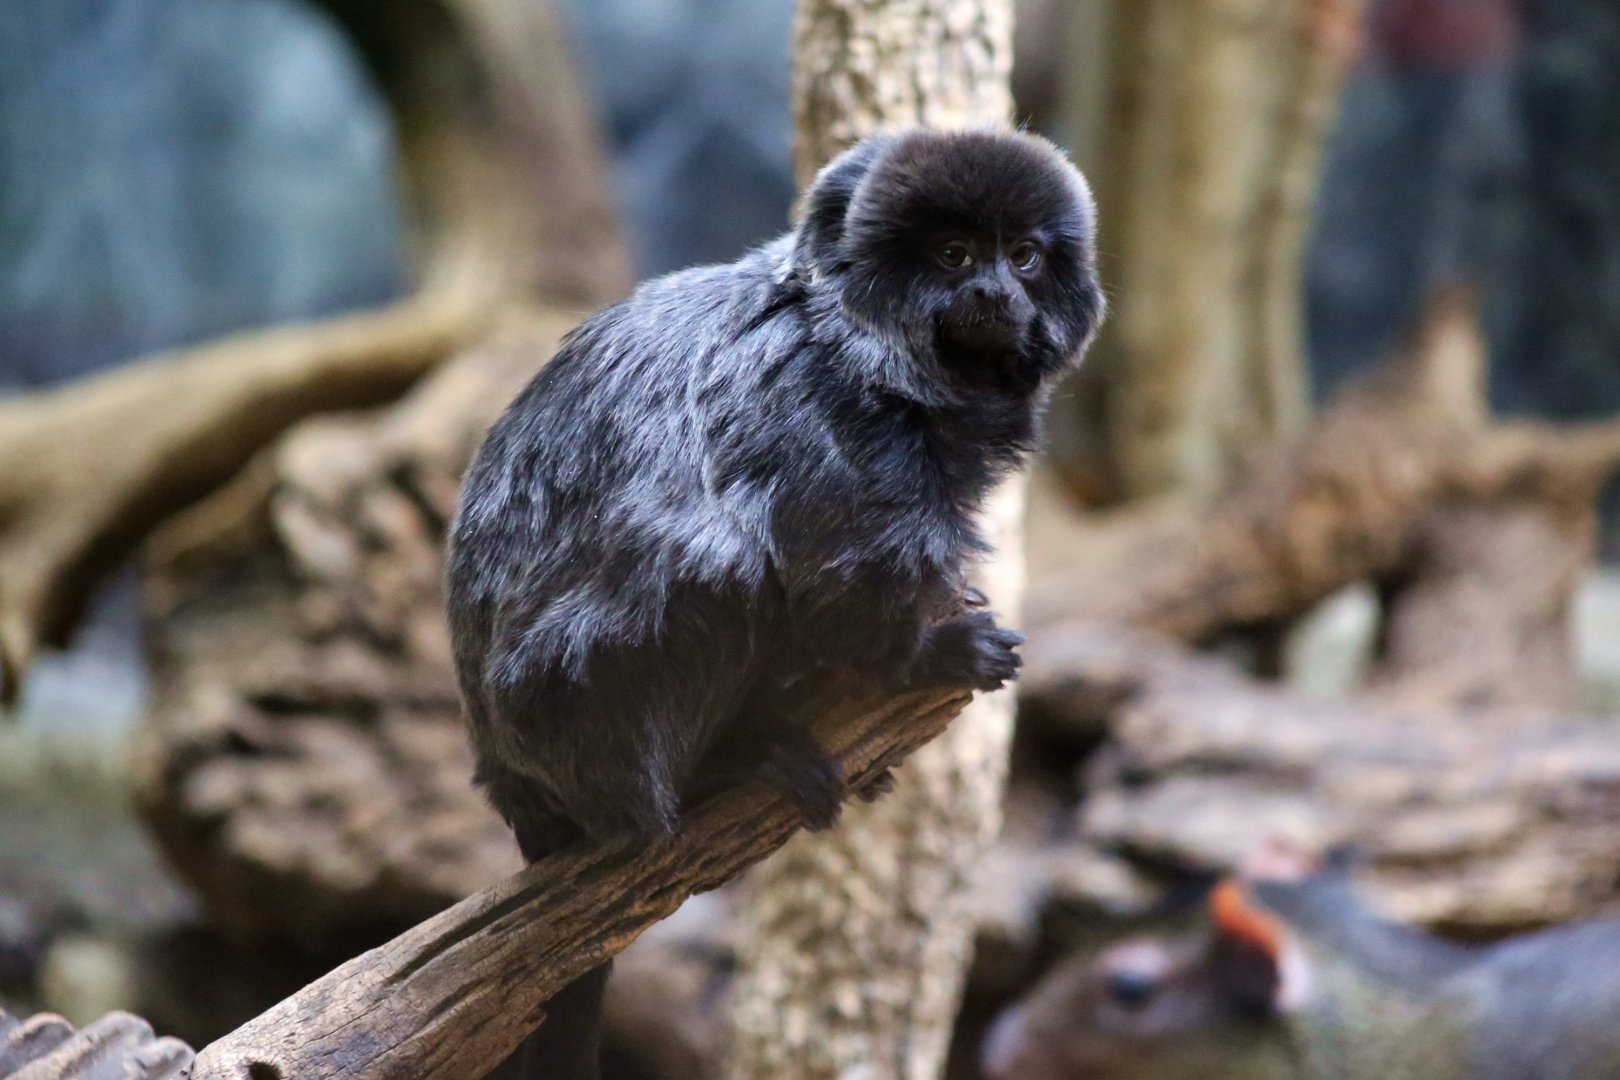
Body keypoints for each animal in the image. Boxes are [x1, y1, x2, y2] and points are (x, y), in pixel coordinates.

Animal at [445, 127, 1104, 1079]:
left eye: (1023, 257)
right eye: (953, 254)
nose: (993, 292)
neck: (857, 337)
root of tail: (507, 777)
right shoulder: (823, 411)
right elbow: (835, 569)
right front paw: (938, 654)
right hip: (579, 704)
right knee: (712, 567)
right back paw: (729, 764)